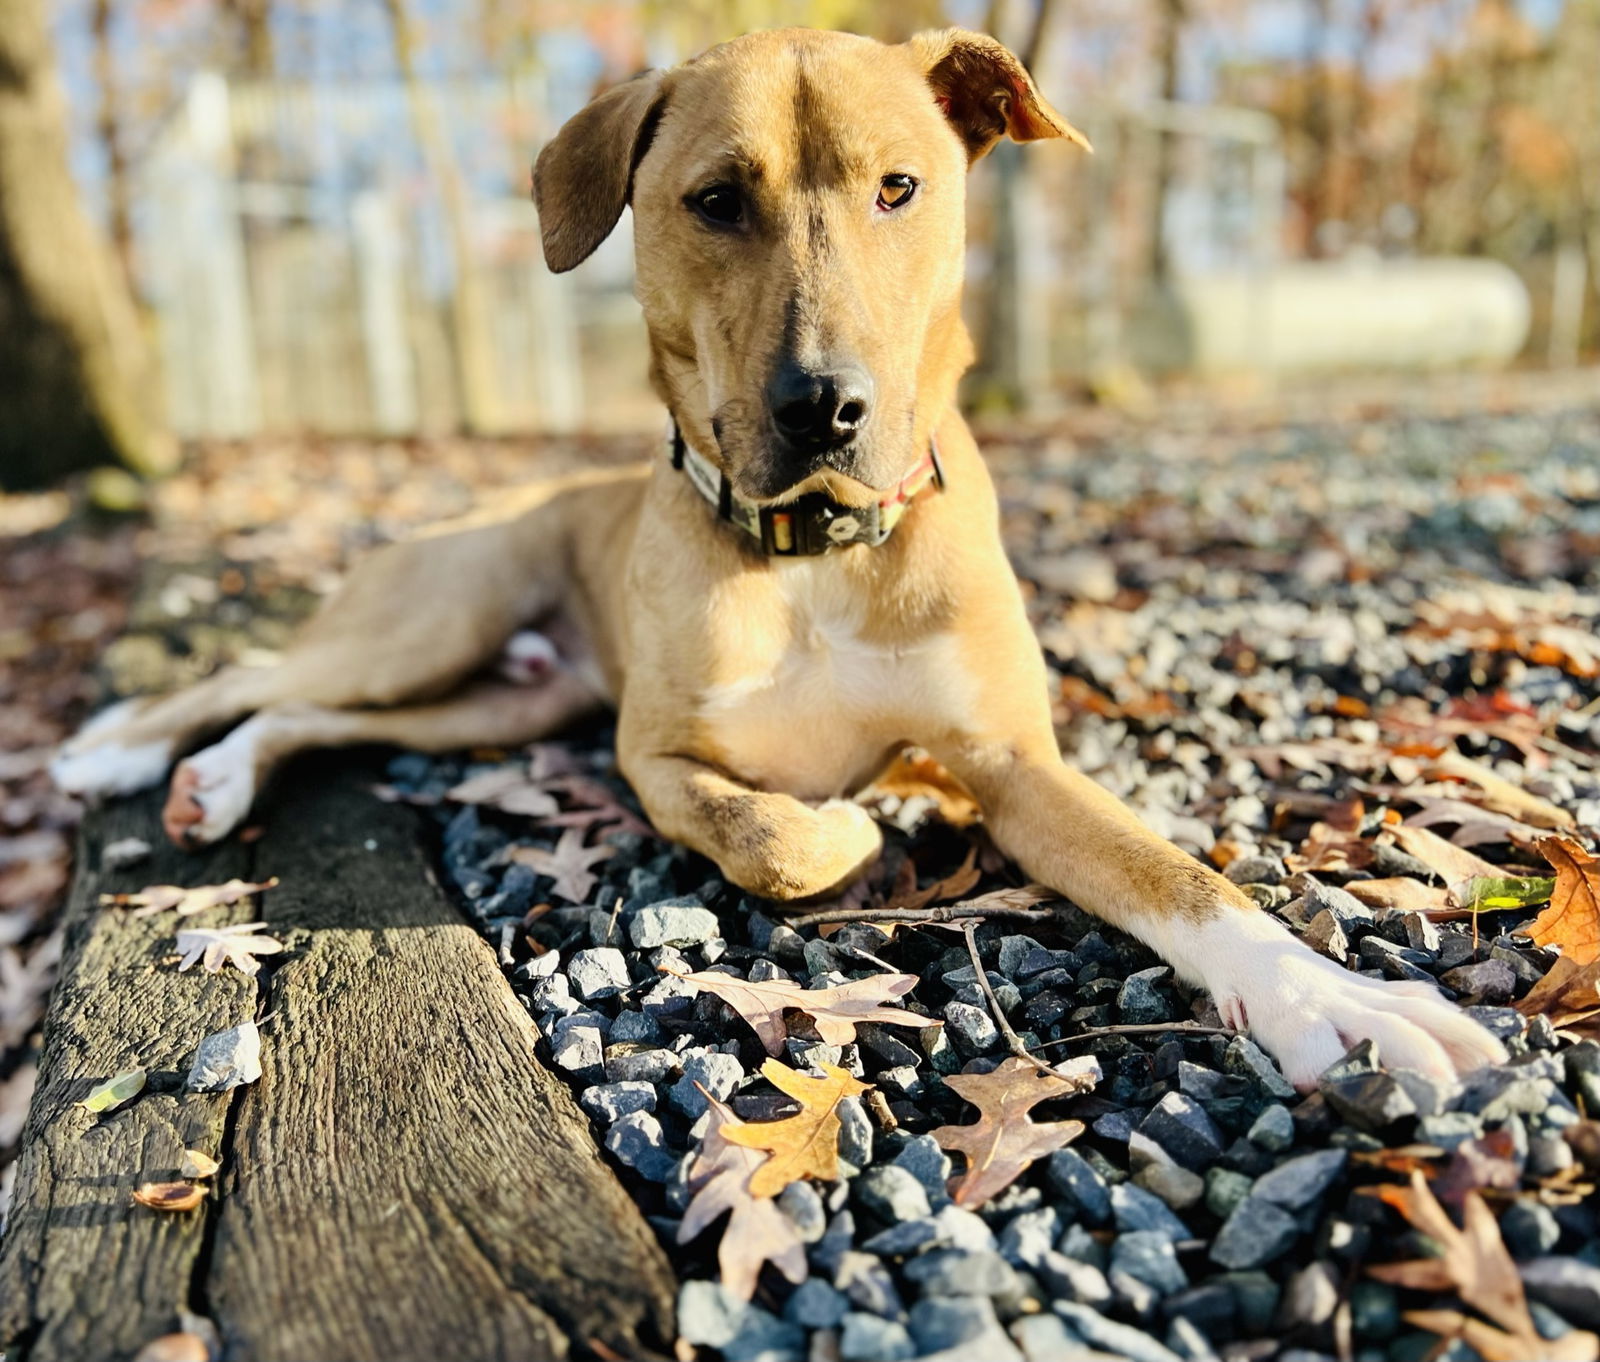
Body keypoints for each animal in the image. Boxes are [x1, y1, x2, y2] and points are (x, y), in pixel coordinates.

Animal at [46, 26, 1497, 1094]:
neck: (813, 550)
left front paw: (1335, 1002)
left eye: (900, 186)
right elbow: (775, 836)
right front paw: (853, 825)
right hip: (445, 618)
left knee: (306, 710)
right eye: (714, 201)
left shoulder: (1014, 764)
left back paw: (216, 781)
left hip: (498, 702)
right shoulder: (654, 755)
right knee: (252, 669)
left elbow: (1177, 877)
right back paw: (120, 749)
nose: (827, 406)